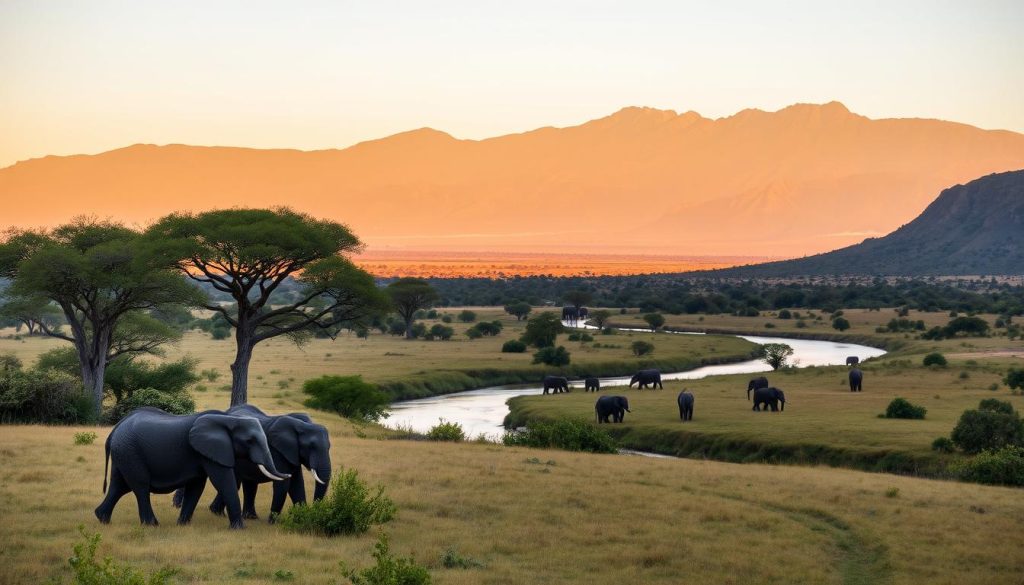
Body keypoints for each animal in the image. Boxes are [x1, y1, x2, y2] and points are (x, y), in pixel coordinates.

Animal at [95, 407, 289, 529]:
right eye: (249, 441)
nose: (288, 474)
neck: (229, 420)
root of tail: (116, 428)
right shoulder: (211, 451)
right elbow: (223, 480)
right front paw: (240, 529)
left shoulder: (201, 453)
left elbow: (196, 486)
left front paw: (183, 525)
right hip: (131, 452)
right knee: (140, 487)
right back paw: (152, 525)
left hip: (124, 453)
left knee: (119, 486)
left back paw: (102, 519)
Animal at [173, 405, 332, 522]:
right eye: (311, 447)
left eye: (329, 447)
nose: (315, 509)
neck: (302, 425)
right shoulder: (278, 451)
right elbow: (284, 485)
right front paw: (273, 522)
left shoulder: (292, 453)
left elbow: (297, 484)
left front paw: (302, 517)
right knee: (236, 482)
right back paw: (219, 513)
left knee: (247, 484)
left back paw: (246, 517)